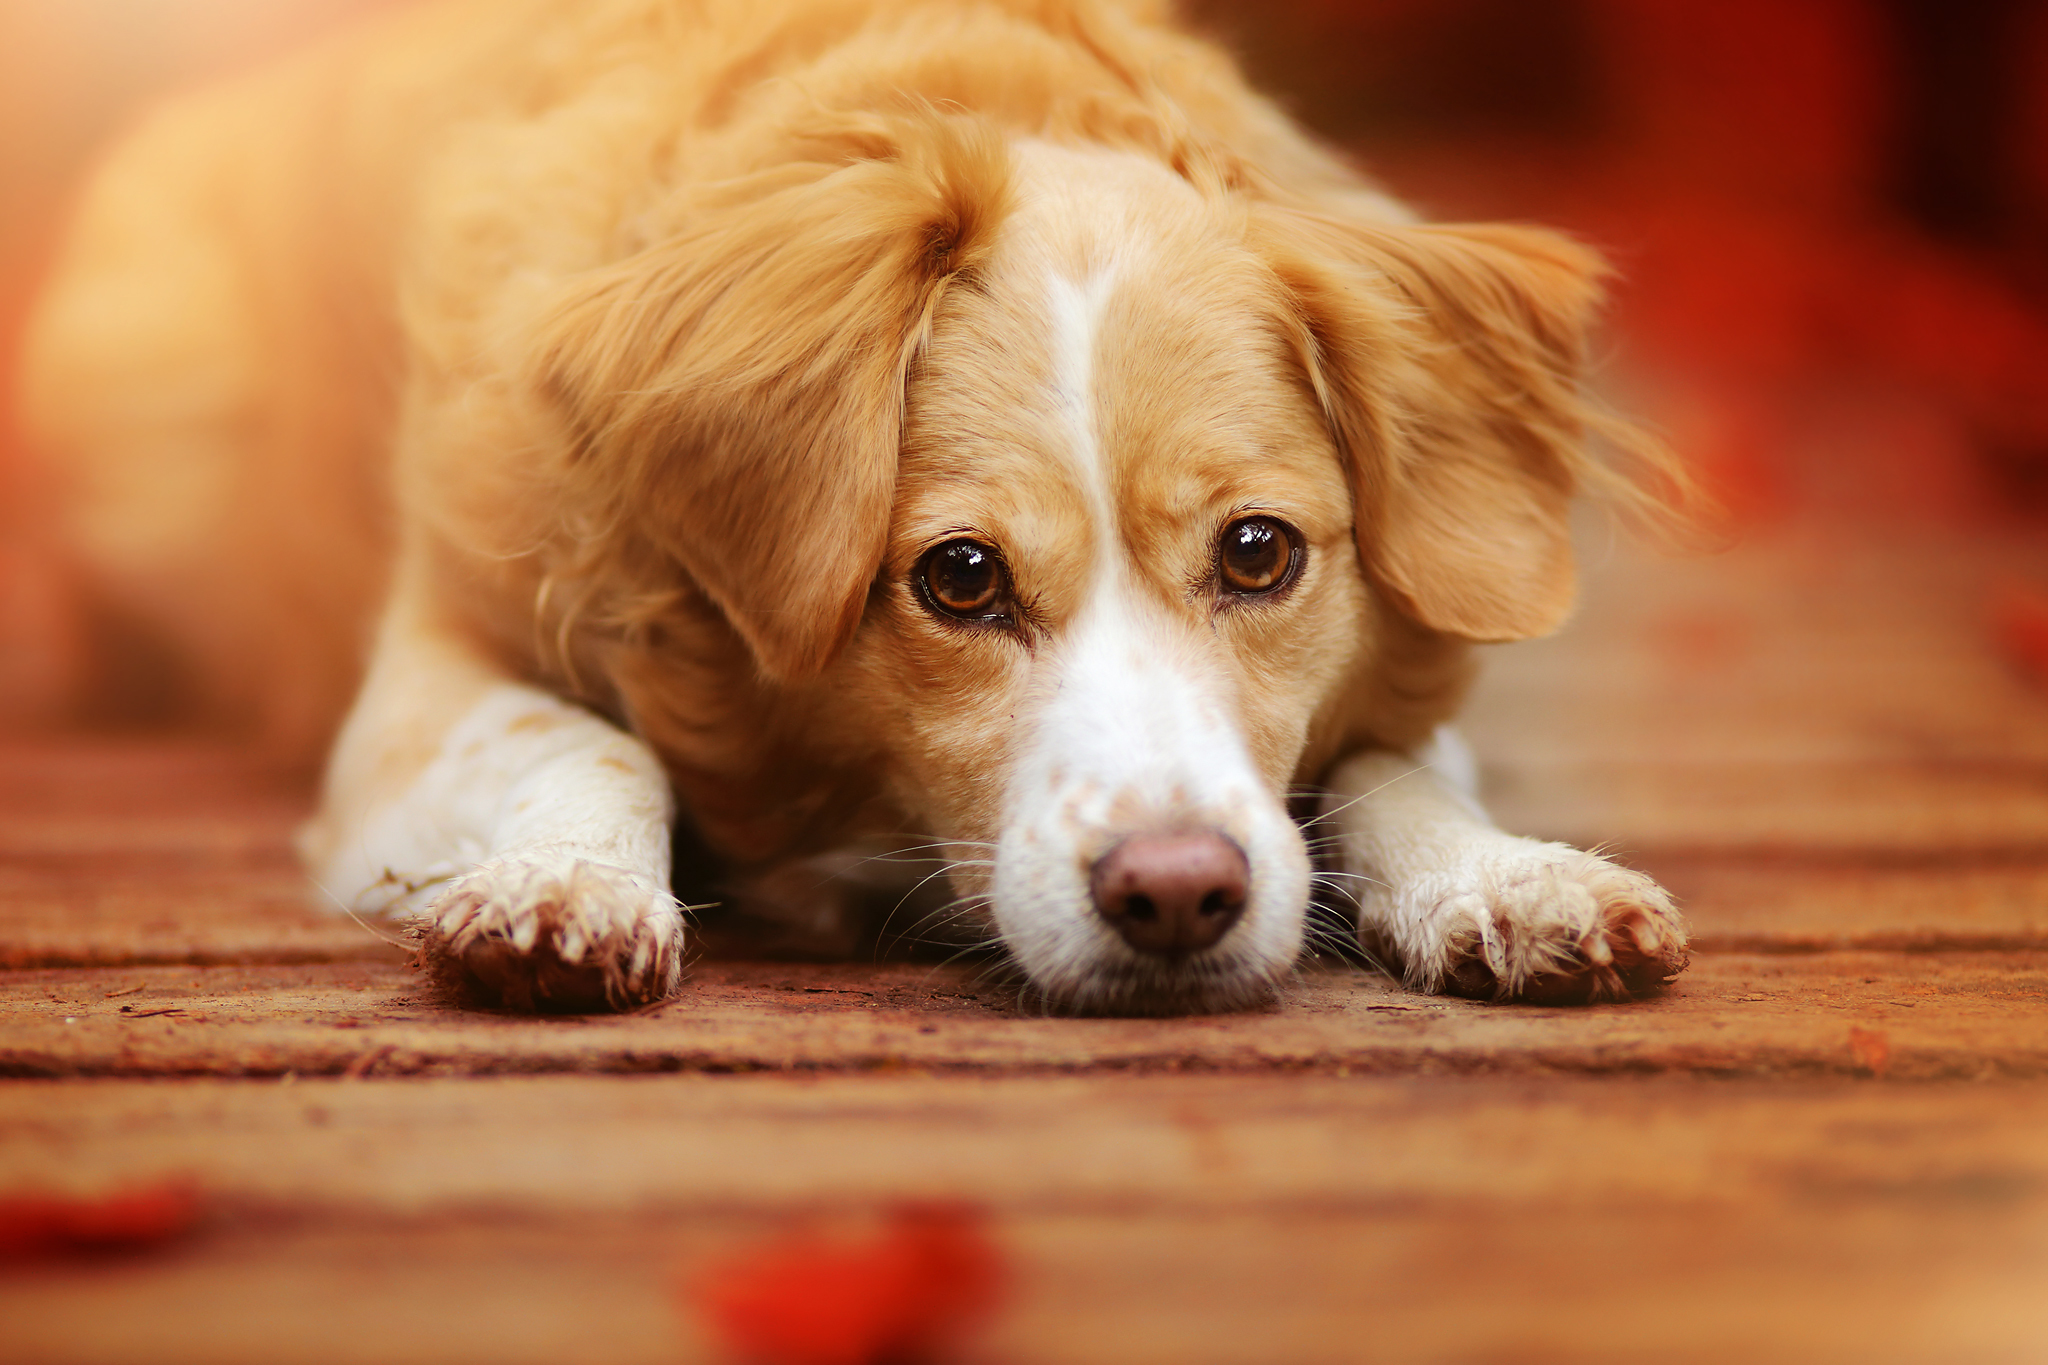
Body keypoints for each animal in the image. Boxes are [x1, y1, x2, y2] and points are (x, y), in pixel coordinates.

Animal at [24, 0, 1695, 1015]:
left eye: (1259, 552)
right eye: (957, 579)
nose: (1176, 898)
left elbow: (1384, 766)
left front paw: (1508, 874)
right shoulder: (422, 677)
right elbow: (589, 736)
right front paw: (572, 881)